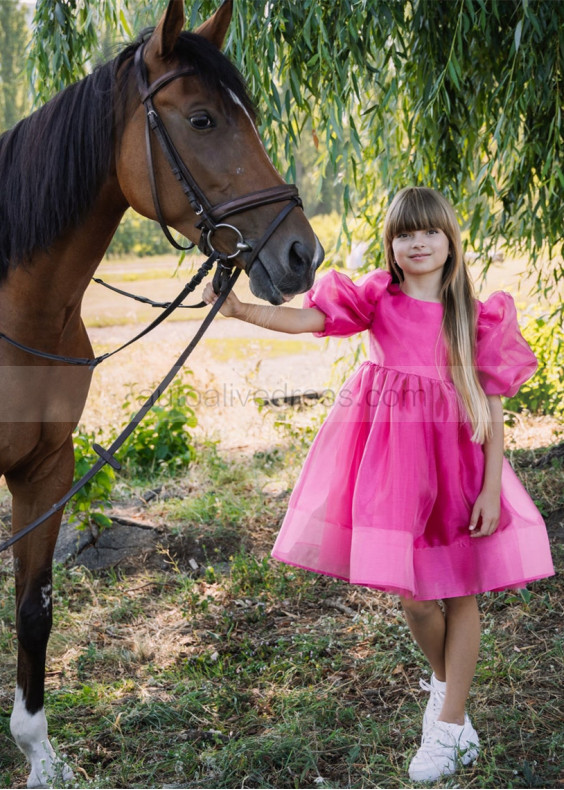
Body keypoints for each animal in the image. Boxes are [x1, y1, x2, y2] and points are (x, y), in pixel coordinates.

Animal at [0, 1, 324, 784]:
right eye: (202, 119)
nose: (302, 253)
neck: (18, 315)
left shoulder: (46, 470)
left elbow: (34, 609)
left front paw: (39, 755)